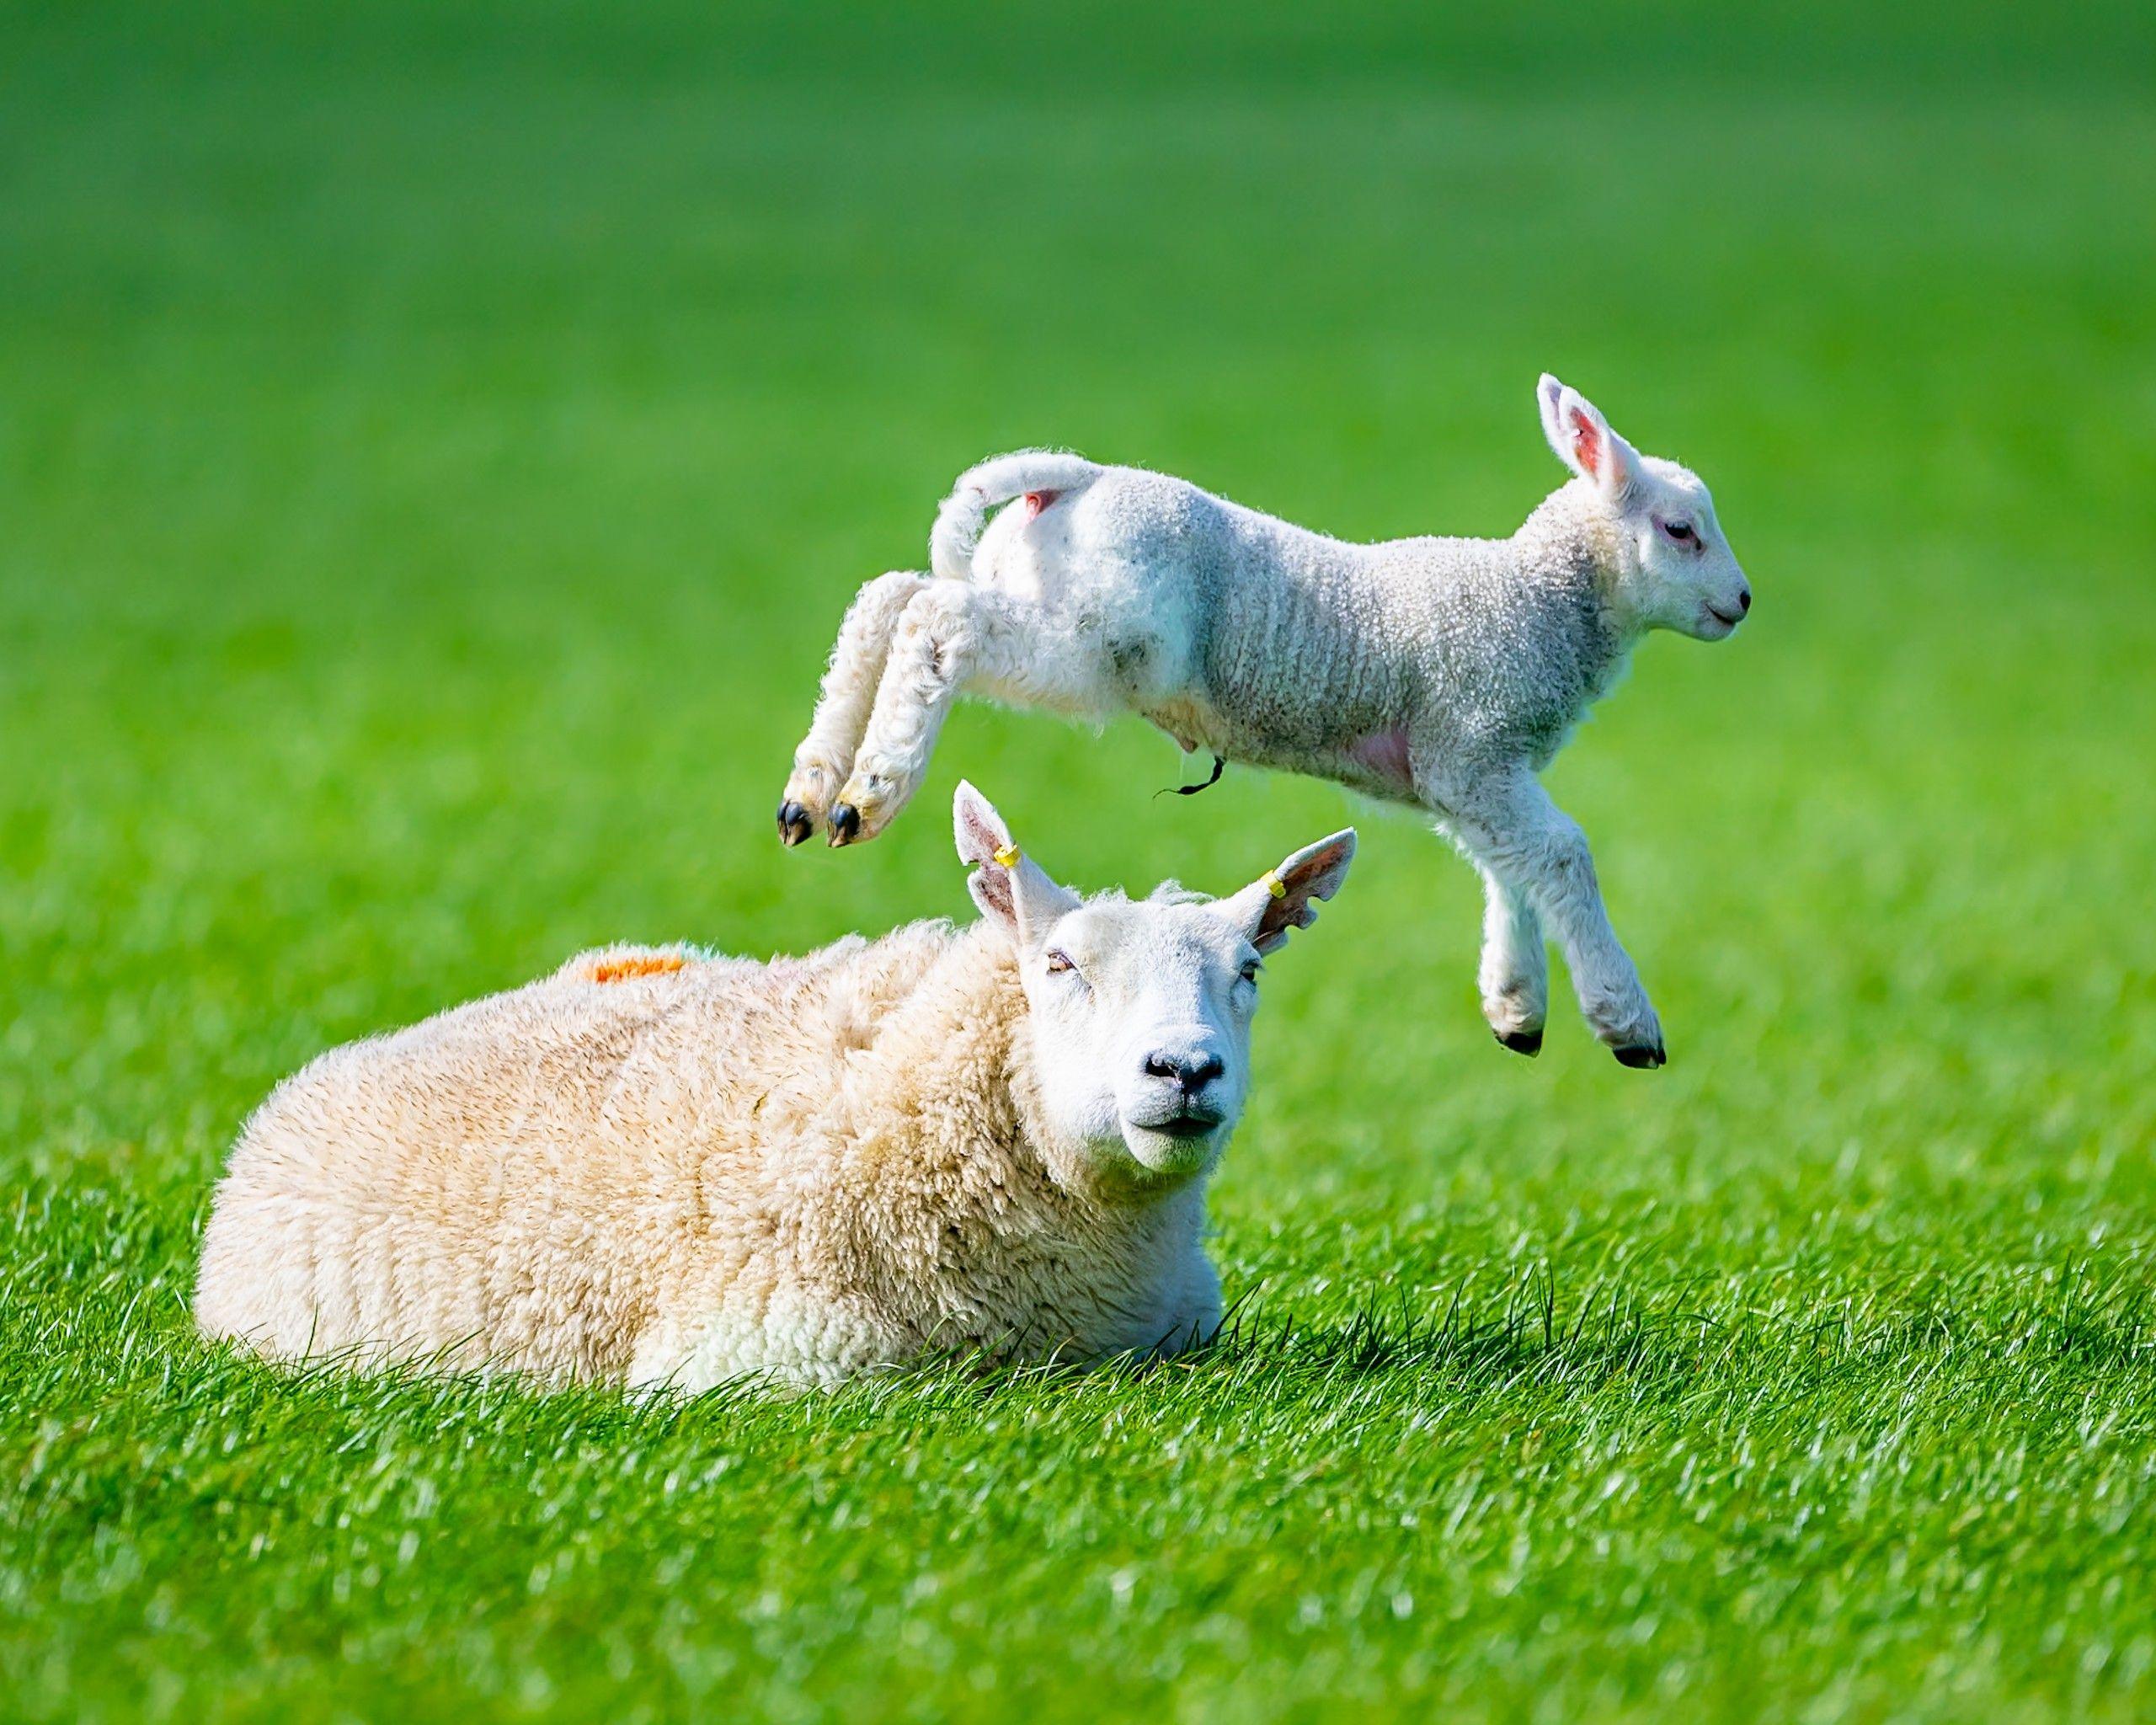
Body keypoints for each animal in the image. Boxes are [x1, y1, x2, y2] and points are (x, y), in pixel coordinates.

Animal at [776, 372, 1750, 1065]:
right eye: (1680, 530)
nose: (1741, 603)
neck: (1542, 596)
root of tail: (1075, 477)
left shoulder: (1466, 765)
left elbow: (1510, 866)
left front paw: (1515, 1006)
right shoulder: (1474, 742)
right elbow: (1561, 854)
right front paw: (1626, 1021)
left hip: (1038, 600)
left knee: (889, 596)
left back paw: (812, 793)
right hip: (1090, 644)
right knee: (935, 621)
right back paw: (874, 790)